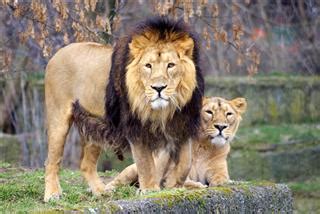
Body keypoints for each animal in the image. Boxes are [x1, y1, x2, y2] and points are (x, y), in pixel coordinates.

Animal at [43, 17, 204, 202]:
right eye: (148, 66)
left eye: (171, 65)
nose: (158, 88)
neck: (165, 110)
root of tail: (57, 53)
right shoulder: (136, 128)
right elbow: (145, 163)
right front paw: (149, 189)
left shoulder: (183, 125)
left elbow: (186, 163)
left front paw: (174, 185)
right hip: (58, 119)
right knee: (52, 161)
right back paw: (52, 194)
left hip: (94, 125)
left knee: (86, 164)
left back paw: (101, 192)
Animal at [104, 96, 246, 189]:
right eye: (209, 112)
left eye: (229, 114)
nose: (221, 127)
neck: (205, 146)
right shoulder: (173, 172)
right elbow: (182, 182)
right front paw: (198, 185)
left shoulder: (219, 170)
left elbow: (222, 178)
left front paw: (225, 182)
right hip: (134, 170)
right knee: (118, 181)